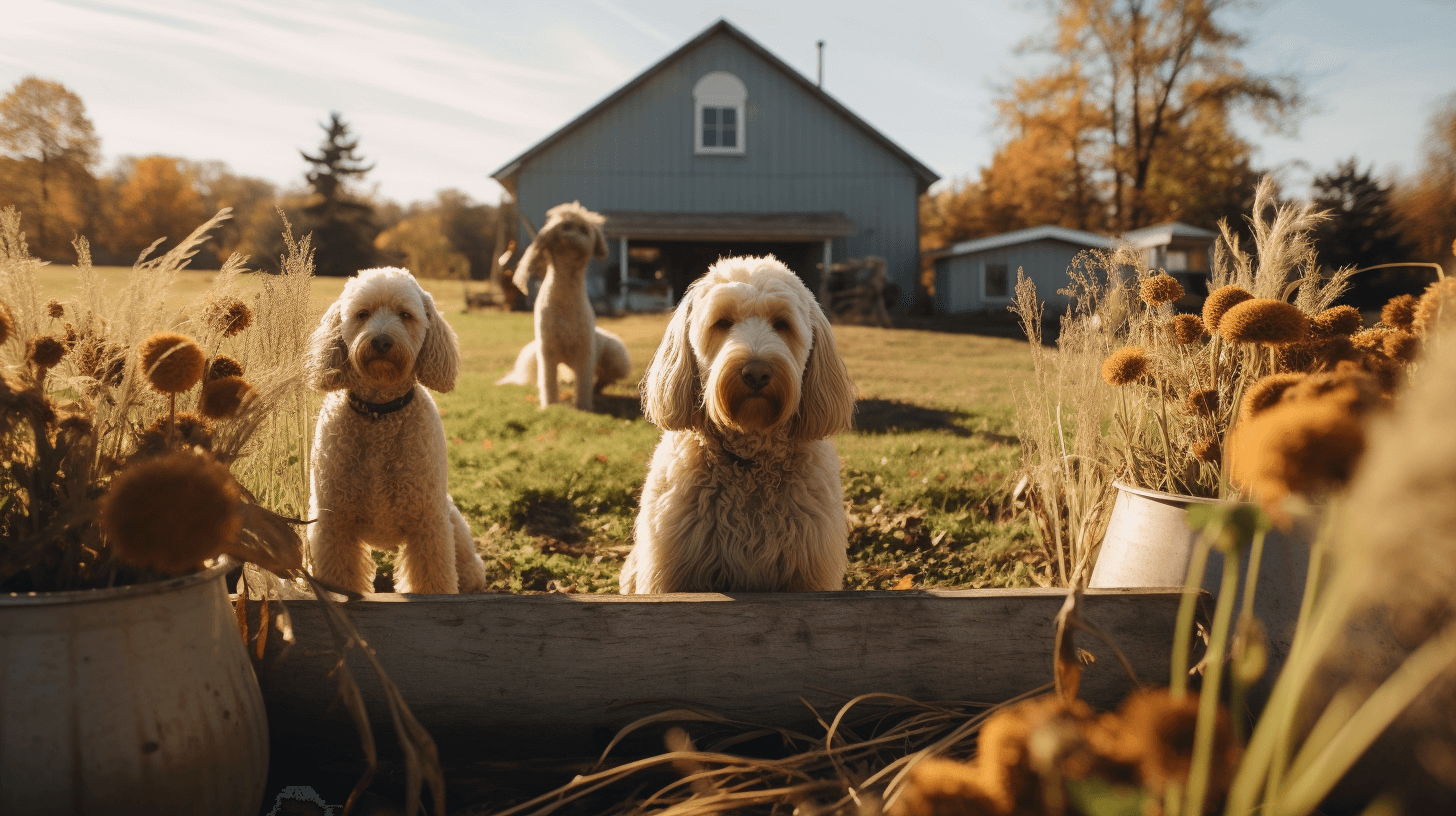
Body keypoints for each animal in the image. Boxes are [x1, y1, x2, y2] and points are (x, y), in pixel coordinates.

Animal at [305, 268, 489, 591]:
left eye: (405, 315)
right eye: (362, 314)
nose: (381, 341)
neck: (379, 413)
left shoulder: (428, 522)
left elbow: (434, 578)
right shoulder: (332, 523)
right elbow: (339, 576)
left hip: (453, 523)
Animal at [512, 201, 608, 410]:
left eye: (584, 229)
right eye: (565, 227)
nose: (574, 237)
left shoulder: (584, 352)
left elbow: (584, 384)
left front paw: (584, 406)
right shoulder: (547, 352)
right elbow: (548, 382)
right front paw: (549, 405)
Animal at [620, 255, 856, 591]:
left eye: (782, 324)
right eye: (722, 322)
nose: (756, 372)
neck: (749, 463)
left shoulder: (809, 572)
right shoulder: (670, 572)